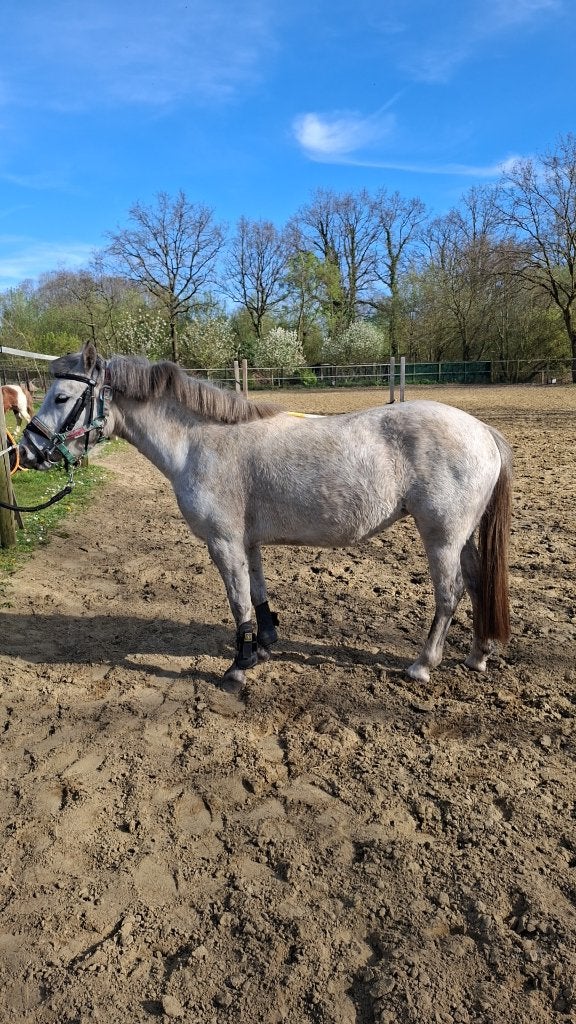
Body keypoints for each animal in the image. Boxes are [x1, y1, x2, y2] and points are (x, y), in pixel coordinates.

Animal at [19, 341, 512, 694]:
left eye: (61, 397)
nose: (27, 451)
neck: (200, 442)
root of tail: (482, 430)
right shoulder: (247, 542)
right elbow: (256, 595)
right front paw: (264, 647)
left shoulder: (223, 542)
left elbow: (238, 603)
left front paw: (239, 667)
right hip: (462, 538)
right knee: (476, 583)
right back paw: (478, 654)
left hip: (441, 537)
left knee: (449, 595)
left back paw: (423, 665)